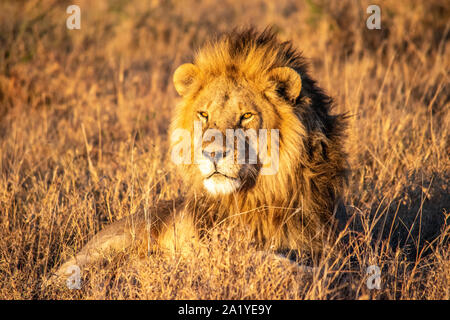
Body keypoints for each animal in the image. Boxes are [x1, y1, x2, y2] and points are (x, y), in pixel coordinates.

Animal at [53, 26, 348, 278]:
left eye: (247, 116)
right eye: (204, 114)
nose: (213, 154)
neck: (260, 196)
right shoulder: (212, 249)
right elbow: (266, 259)